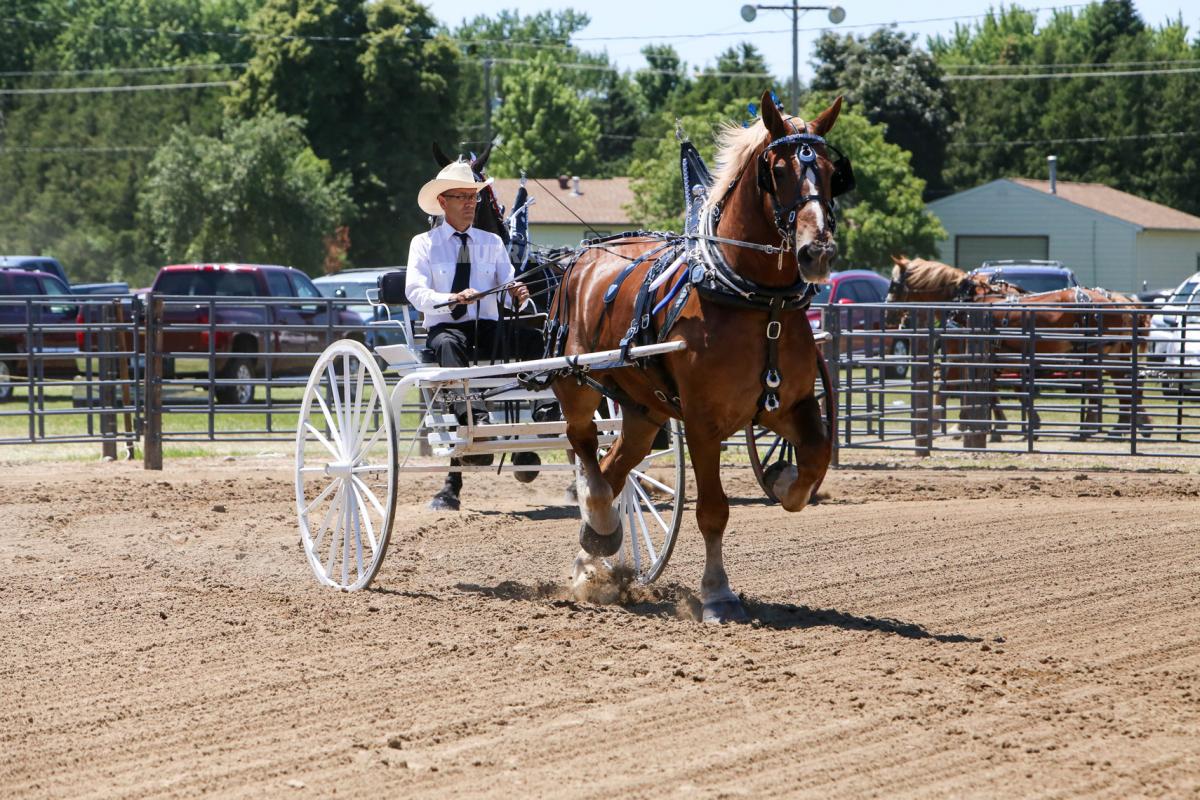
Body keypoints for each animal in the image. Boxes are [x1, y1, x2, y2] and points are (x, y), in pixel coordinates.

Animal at [545, 91, 846, 623]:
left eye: (833, 171)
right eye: (778, 170)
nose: (818, 252)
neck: (755, 300)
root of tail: (583, 255)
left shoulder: (790, 404)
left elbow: (813, 460)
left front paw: (781, 477)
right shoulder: (704, 422)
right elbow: (712, 510)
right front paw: (718, 594)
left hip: (643, 408)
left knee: (618, 464)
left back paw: (592, 554)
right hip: (576, 382)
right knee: (586, 451)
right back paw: (598, 519)